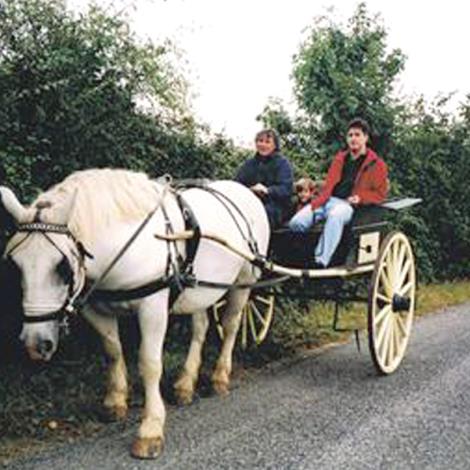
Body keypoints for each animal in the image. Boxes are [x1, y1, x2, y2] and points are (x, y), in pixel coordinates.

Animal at [0, 170, 270, 458]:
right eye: (15, 265)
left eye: (62, 267)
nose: (35, 344)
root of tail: (245, 190)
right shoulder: (96, 309)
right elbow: (113, 351)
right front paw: (115, 401)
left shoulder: (153, 307)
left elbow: (149, 363)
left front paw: (150, 429)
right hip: (202, 290)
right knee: (200, 327)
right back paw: (185, 383)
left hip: (244, 281)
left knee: (231, 326)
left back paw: (220, 376)